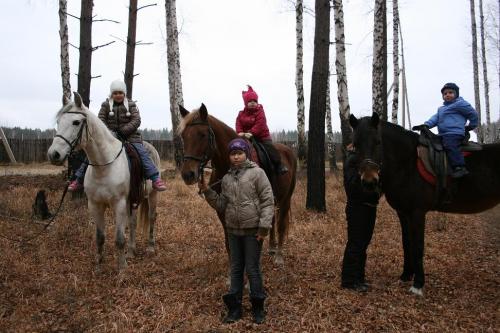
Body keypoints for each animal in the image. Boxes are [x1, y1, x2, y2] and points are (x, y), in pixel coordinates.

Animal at [48, 91, 159, 272]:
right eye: (58, 122)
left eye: (76, 122)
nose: (54, 154)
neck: (104, 165)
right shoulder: (95, 205)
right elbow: (100, 237)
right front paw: (99, 267)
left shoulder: (118, 204)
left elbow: (119, 239)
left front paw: (121, 270)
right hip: (133, 199)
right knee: (133, 222)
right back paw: (131, 251)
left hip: (152, 195)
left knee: (151, 217)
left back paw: (150, 247)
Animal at [179, 102, 296, 264]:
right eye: (183, 136)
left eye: (202, 135)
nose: (187, 174)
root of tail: (288, 150)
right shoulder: (222, 210)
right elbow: (229, 244)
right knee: (271, 219)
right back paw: (272, 248)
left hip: (286, 198)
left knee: (281, 225)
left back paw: (278, 255)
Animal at [350, 112, 500, 296]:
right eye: (355, 145)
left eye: (377, 141)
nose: (369, 181)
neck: (408, 164)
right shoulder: (403, 212)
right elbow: (407, 242)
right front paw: (406, 274)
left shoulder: (418, 212)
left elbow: (418, 246)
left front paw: (418, 284)